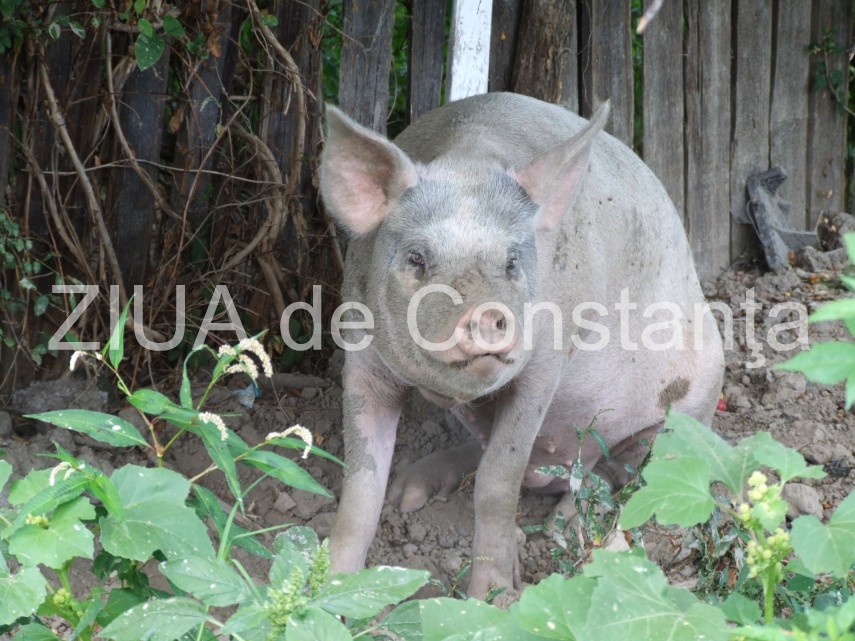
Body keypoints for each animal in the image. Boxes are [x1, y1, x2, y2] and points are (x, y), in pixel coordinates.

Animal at [318, 91, 724, 600]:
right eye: (417, 258)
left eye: (512, 262)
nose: (489, 313)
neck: (467, 160)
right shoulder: (362, 356)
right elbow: (360, 484)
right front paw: (328, 589)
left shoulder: (545, 366)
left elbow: (498, 481)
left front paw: (493, 599)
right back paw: (409, 490)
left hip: (691, 403)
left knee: (620, 476)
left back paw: (564, 527)